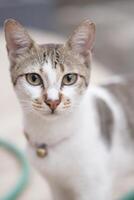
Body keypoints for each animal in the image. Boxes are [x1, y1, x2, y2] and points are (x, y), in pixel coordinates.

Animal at [3, 18, 134, 198]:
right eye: (34, 79)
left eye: (69, 78)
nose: (53, 101)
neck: (52, 135)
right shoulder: (57, 187)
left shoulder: (95, 189)